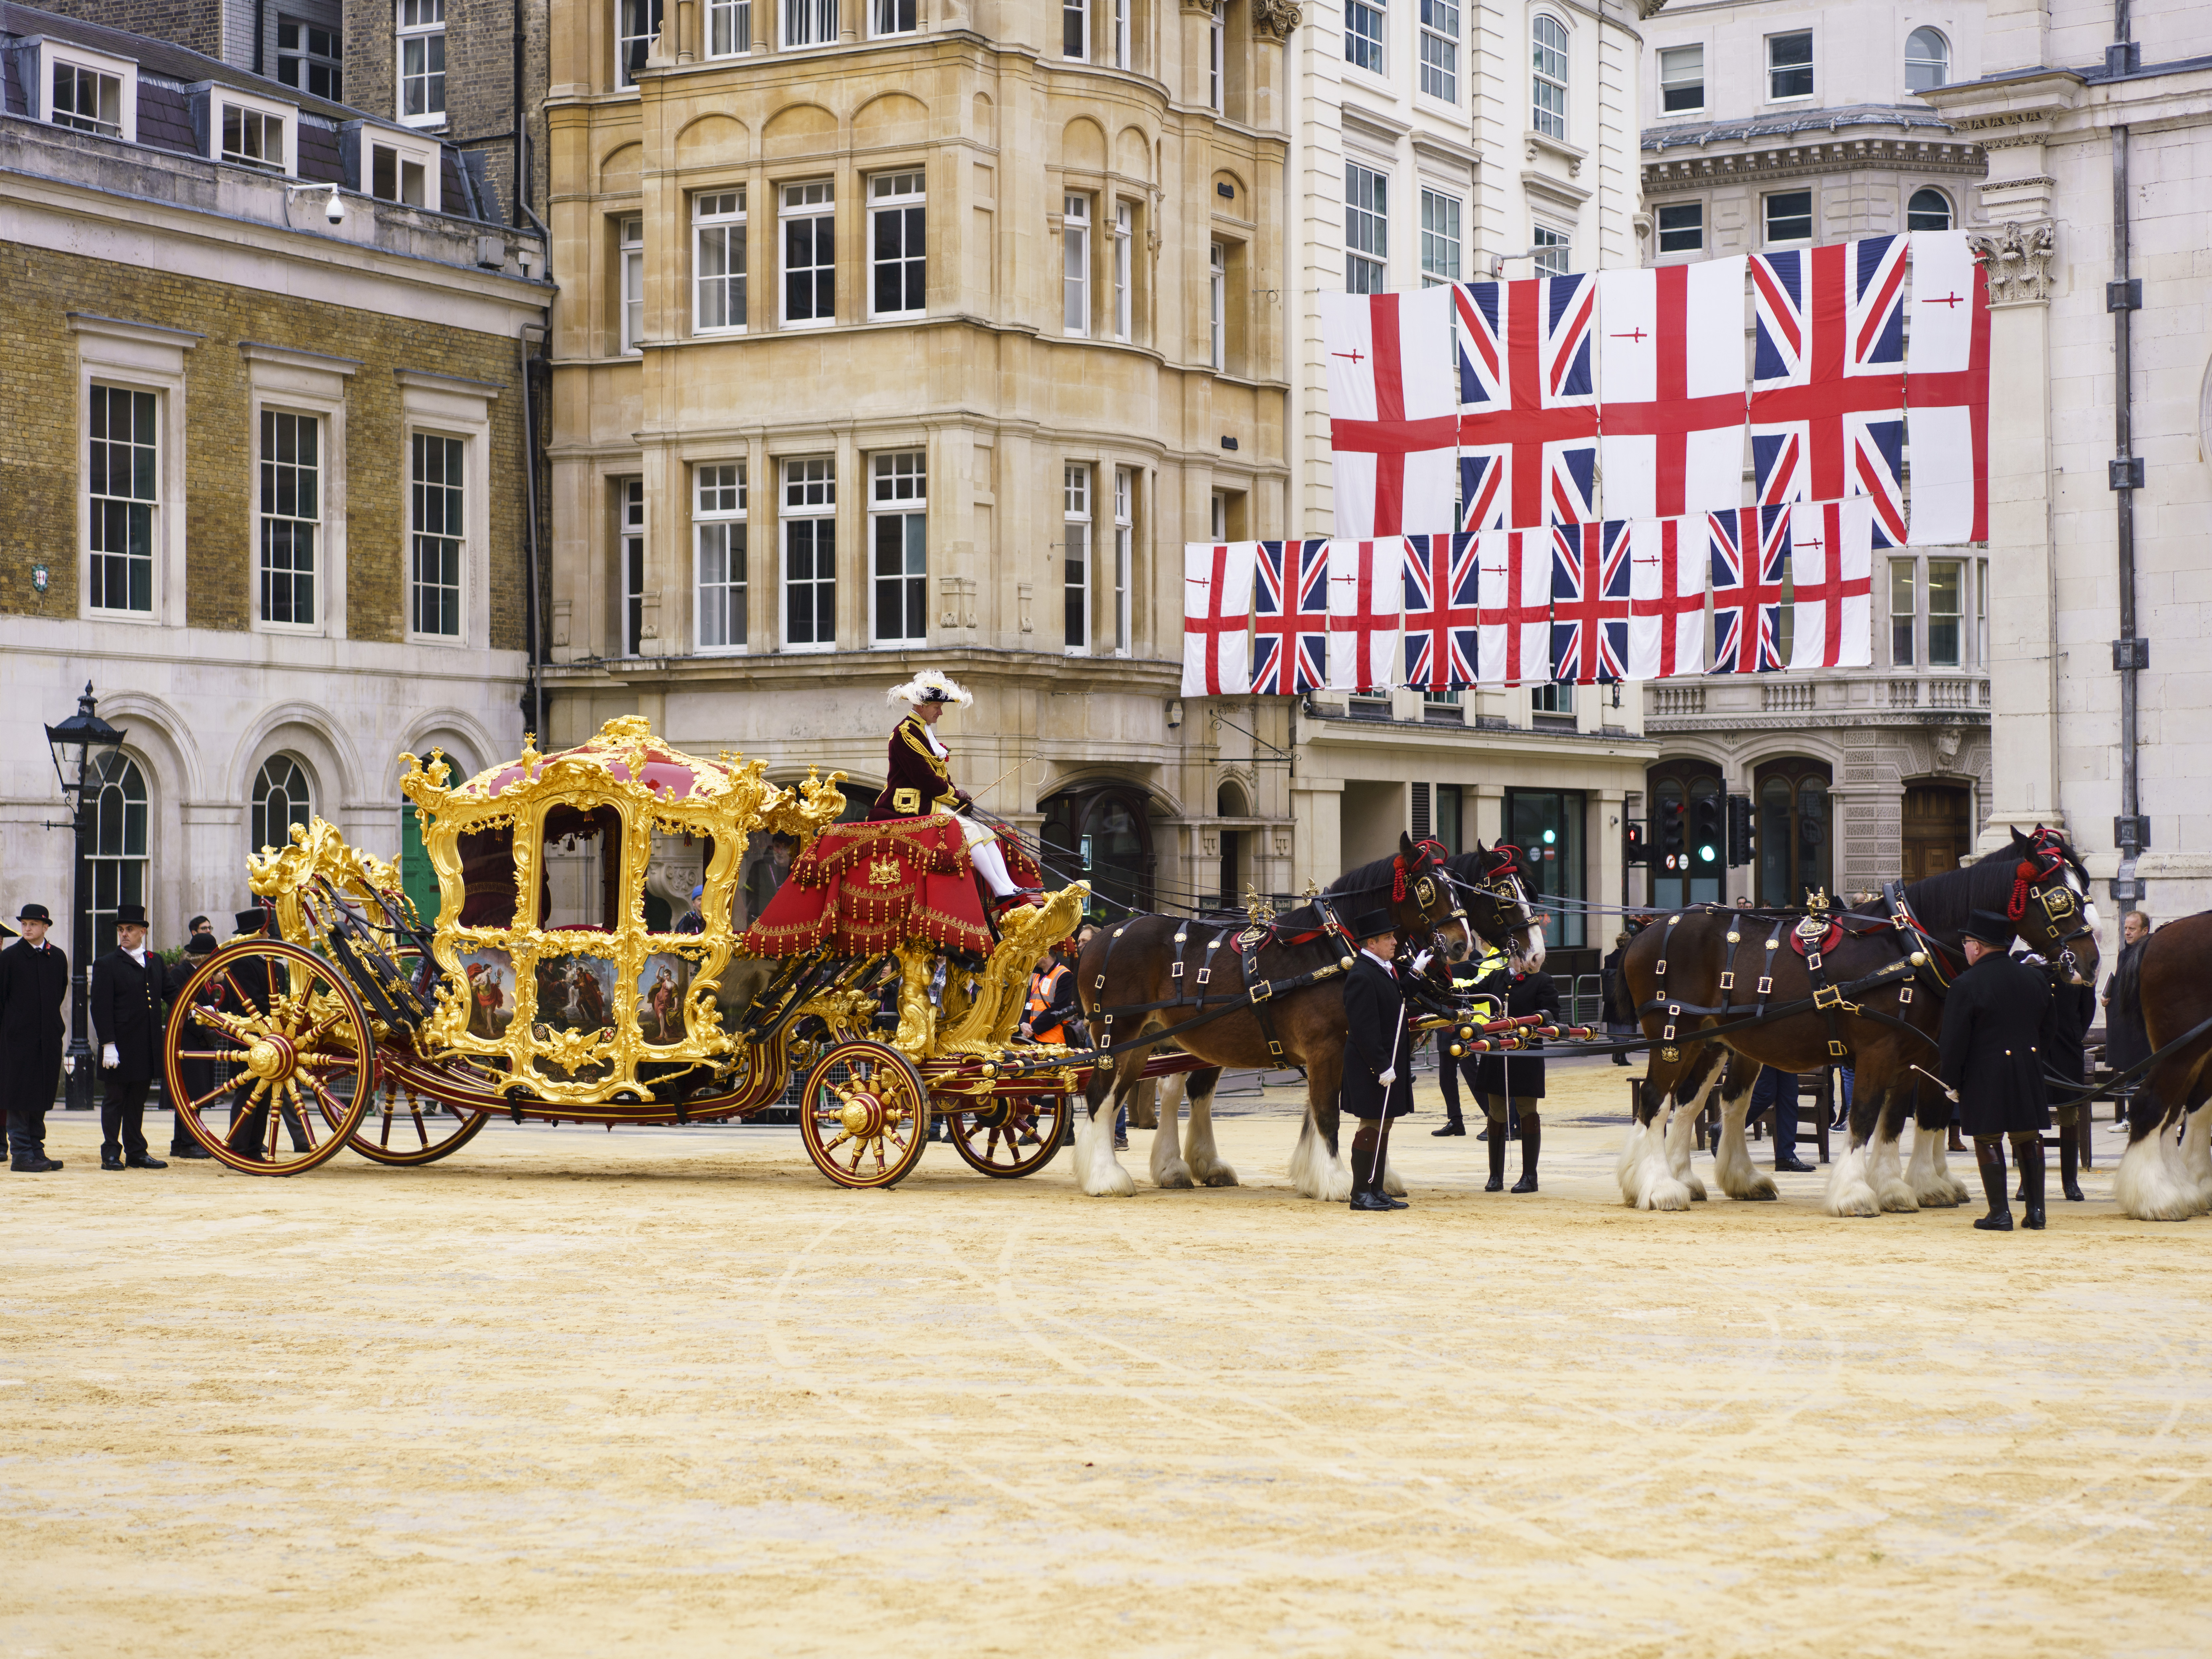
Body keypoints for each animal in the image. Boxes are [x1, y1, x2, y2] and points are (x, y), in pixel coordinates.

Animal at [1070, 836, 1504, 1203]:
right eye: (1427, 888)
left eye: (1459, 888)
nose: (1462, 945)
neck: (1333, 949)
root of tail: (1102, 936)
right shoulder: (1327, 1047)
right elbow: (1328, 1111)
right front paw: (1335, 1180)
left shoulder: (1358, 1048)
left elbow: (1352, 1112)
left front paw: (1335, 1176)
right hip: (1115, 1036)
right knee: (1101, 1097)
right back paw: (1106, 1176)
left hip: (1148, 1042)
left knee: (1132, 1097)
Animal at [1619, 831, 2097, 1221]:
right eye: (2059, 898)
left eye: (2084, 892)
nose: (2089, 962)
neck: (1908, 946)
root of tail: (1649, 929)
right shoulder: (1879, 1050)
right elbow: (1866, 1115)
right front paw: (1855, 1193)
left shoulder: (1916, 1055)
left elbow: (1904, 1119)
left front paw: (1903, 1187)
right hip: (1673, 1036)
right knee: (1655, 1101)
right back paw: (1658, 1186)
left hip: (1714, 1041)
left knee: (1700, 1103)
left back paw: (1698, 1179)